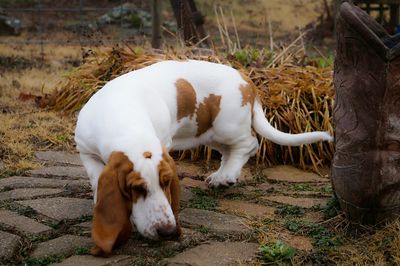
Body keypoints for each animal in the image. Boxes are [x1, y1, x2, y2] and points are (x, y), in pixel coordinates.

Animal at [74, 59, 332, 255]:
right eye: (136, 189)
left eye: (166, 183)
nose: (168, 232)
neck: (126, 122)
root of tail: (246, 80)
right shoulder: (85, 151)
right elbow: (97, 177)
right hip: (208, 132)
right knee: (230, 151)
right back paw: (221, 175)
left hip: (226, 126)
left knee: (249, 144)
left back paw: (227, 176)